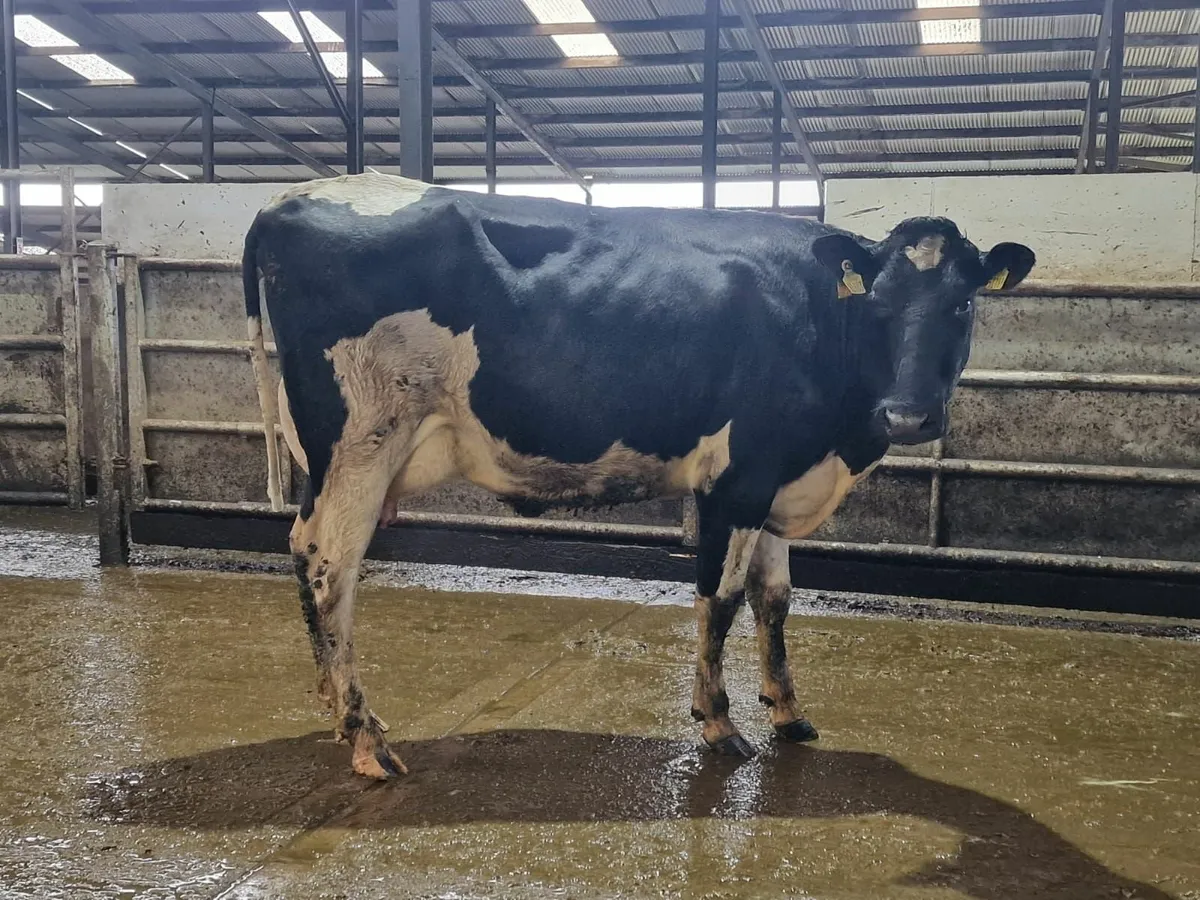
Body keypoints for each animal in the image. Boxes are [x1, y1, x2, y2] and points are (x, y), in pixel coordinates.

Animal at [243, 173, 1035, 779]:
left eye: (964, 302)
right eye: (878, 302)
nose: (908, 415)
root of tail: (296, 195)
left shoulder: (780, 478)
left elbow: (776, 600)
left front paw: (788, 711)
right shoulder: (737, 478)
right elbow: (721, 599)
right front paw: (718, 722)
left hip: (335, 453)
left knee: (310, 558)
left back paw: (337, 712)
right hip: (362, 440)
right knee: (330, 565)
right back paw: (366, 736)